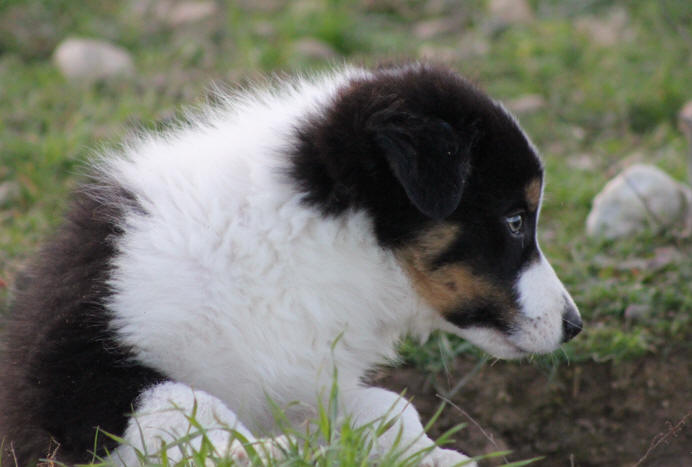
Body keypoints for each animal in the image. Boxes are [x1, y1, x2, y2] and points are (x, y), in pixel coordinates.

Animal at [0, 63, 580, 467]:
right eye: (514, 220)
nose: (574, 326)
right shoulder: (68, 376)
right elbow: (186, 407)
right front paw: (281, 453)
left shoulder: (302, 378)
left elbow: (390, 407)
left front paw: (434, 455)